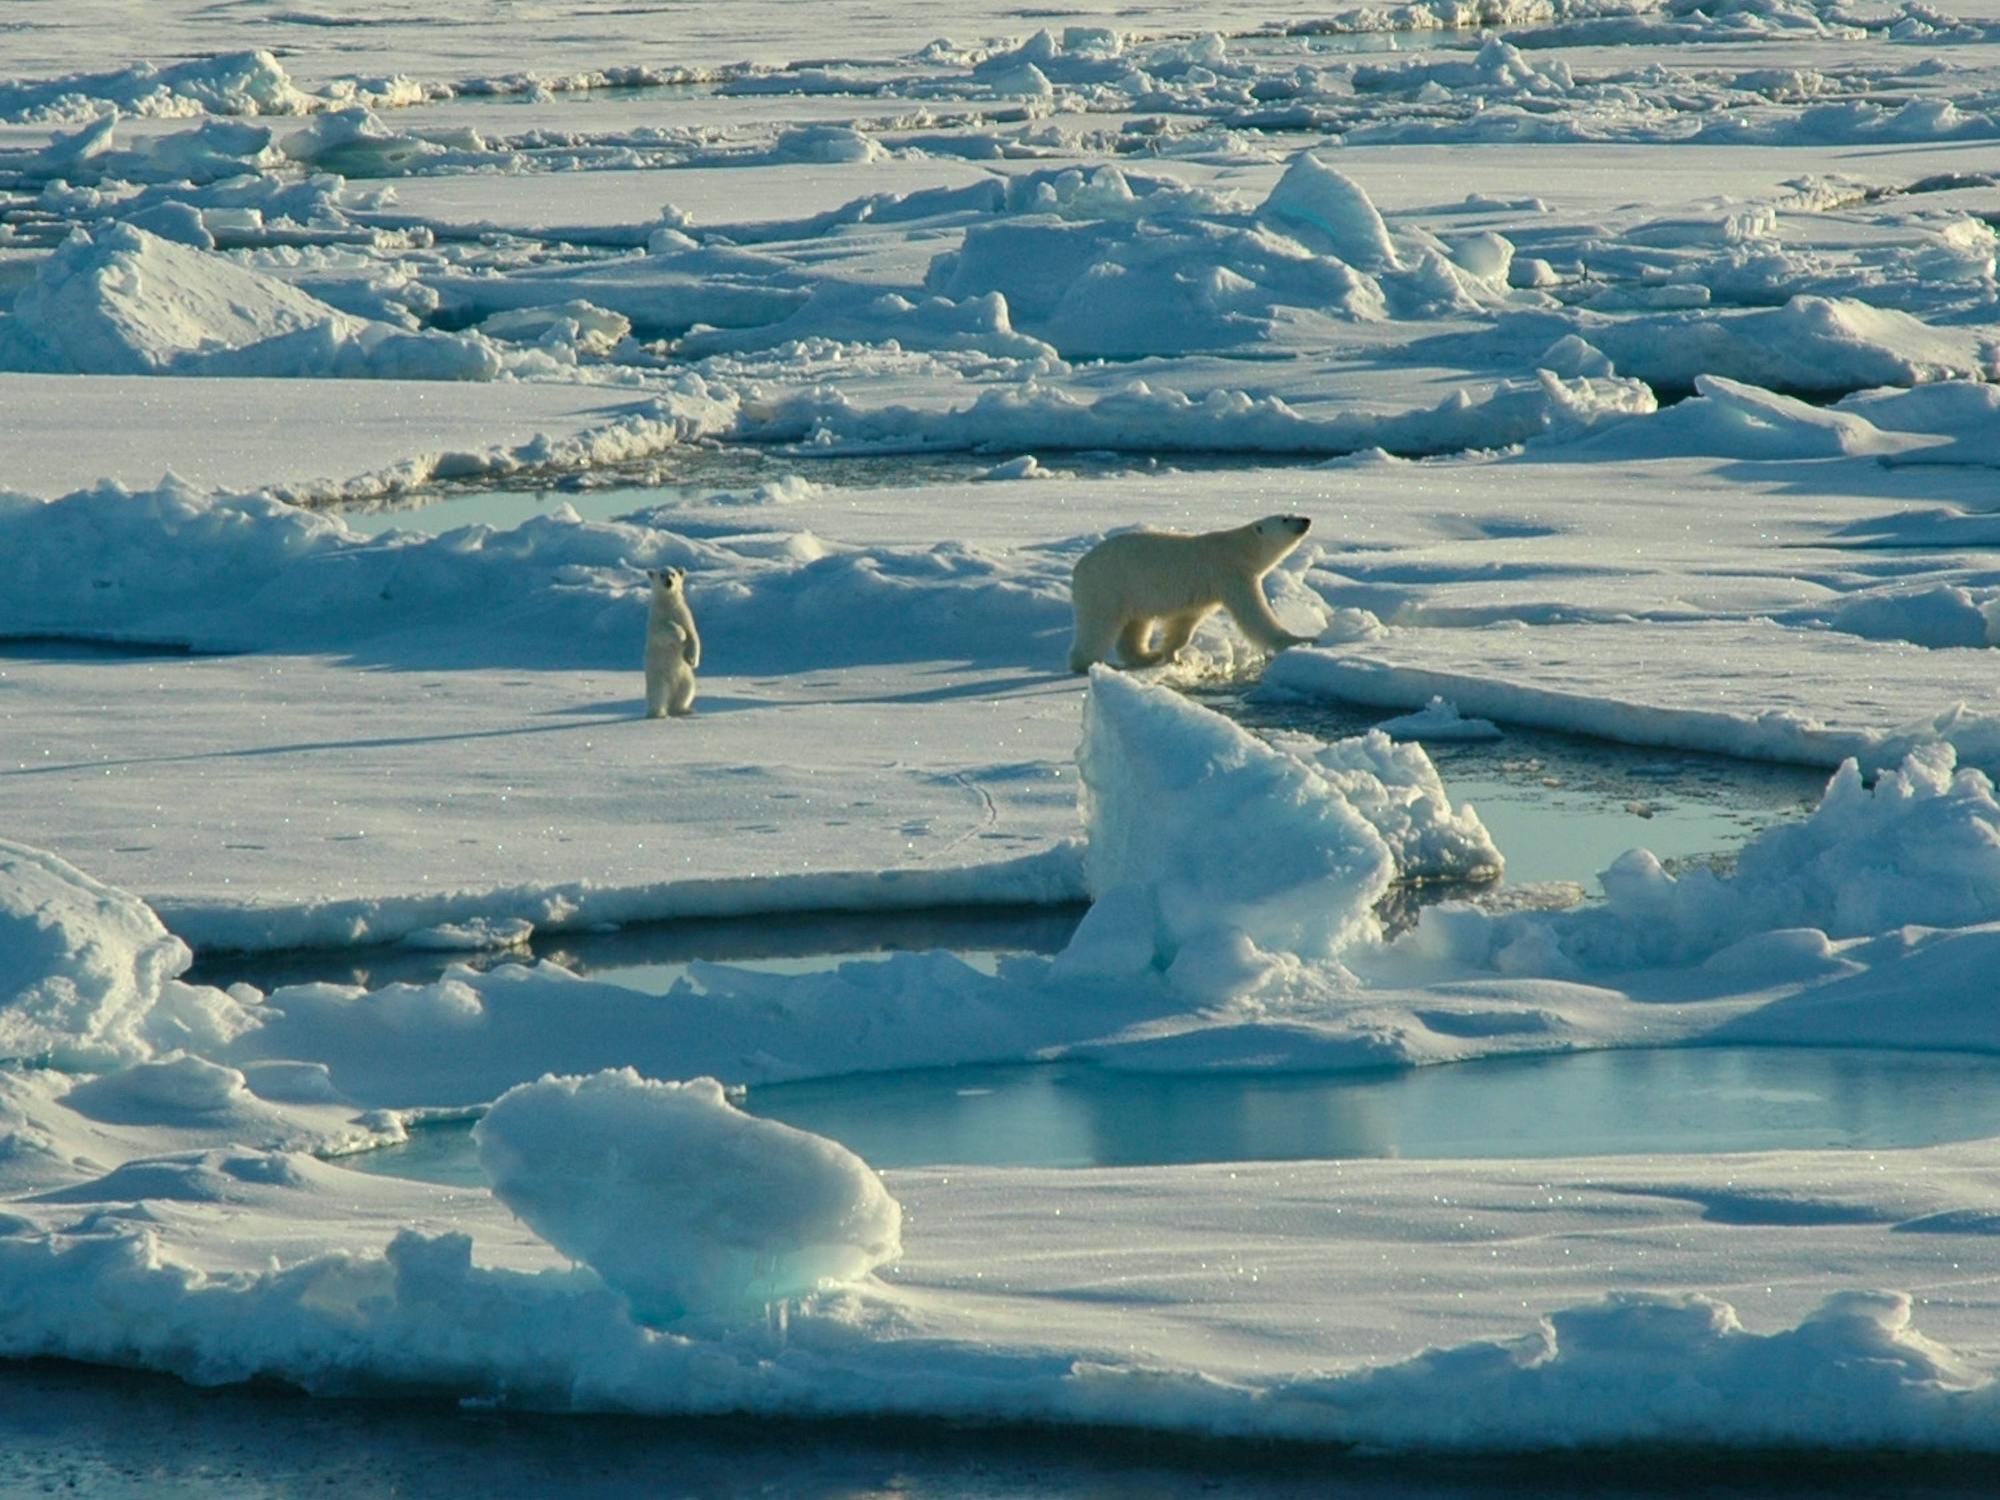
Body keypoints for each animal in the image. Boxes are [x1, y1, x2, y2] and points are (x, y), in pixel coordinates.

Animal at [648, 568, 704, 724]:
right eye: (661, 575)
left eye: (673, 574)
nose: (669, 582)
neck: (668, 603)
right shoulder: (656, 618)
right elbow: (662, 631)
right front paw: (680, 634)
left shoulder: (684, 613)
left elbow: (694, 635)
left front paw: (692, 660)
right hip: (658, 677)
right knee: (659, 694)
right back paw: (660, 714)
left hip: (685, 678)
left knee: (686, 691)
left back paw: (685, 710)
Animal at [1072, 516, 1320, 672]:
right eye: (1285, 519)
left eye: (1291, 514)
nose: (1306, 520)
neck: (1240, 547)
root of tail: (1079, 567)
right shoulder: (1230, 574)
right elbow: (1254, 614)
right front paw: (1301, 640)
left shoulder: (1203, 592)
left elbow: (1185, 623)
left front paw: (1171, 654)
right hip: (1108, 586)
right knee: (1099, 625)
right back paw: (1088, 664)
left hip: (1132, 592)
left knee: (1135, 625)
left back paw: (1147, 655)